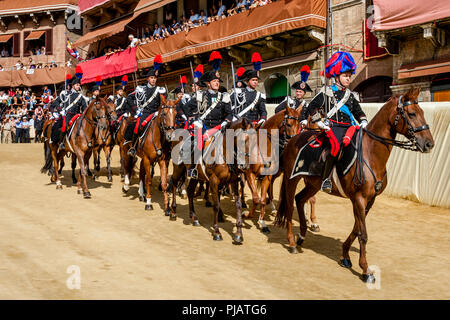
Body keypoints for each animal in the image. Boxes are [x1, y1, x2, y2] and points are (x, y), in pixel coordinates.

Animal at [272, 87, 434, 282]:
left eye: (422, 112)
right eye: (411, 113)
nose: (429, 144)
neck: (371, 153)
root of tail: (294, 139)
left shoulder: (370, 200)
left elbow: (357, 229)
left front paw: (345, 256)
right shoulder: (359, 198)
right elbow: (363, 234)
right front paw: (365, 270)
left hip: (313, 184)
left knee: (300, 199)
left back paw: (302, 235)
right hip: (291, 179)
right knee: (289, 206)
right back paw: (291, 242)